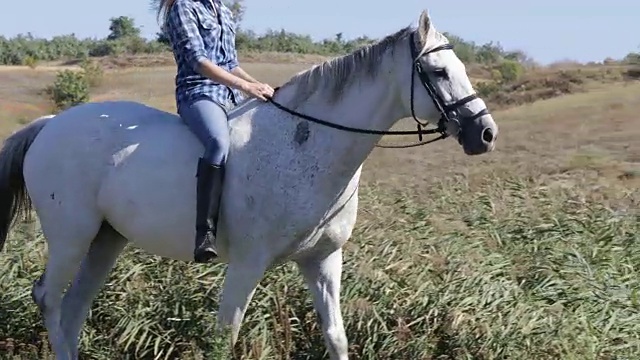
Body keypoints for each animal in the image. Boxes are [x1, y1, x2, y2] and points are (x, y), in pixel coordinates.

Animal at [0, 10, 498, 360]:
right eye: (438, 72)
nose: (485, 134)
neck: (308, 145)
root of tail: (49, 125)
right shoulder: (246, 265)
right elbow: (226, 339)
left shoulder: (323, 262)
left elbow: (336, 338)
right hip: (72, 236)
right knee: (49, 298)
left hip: (107, 240)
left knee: (74, 309)